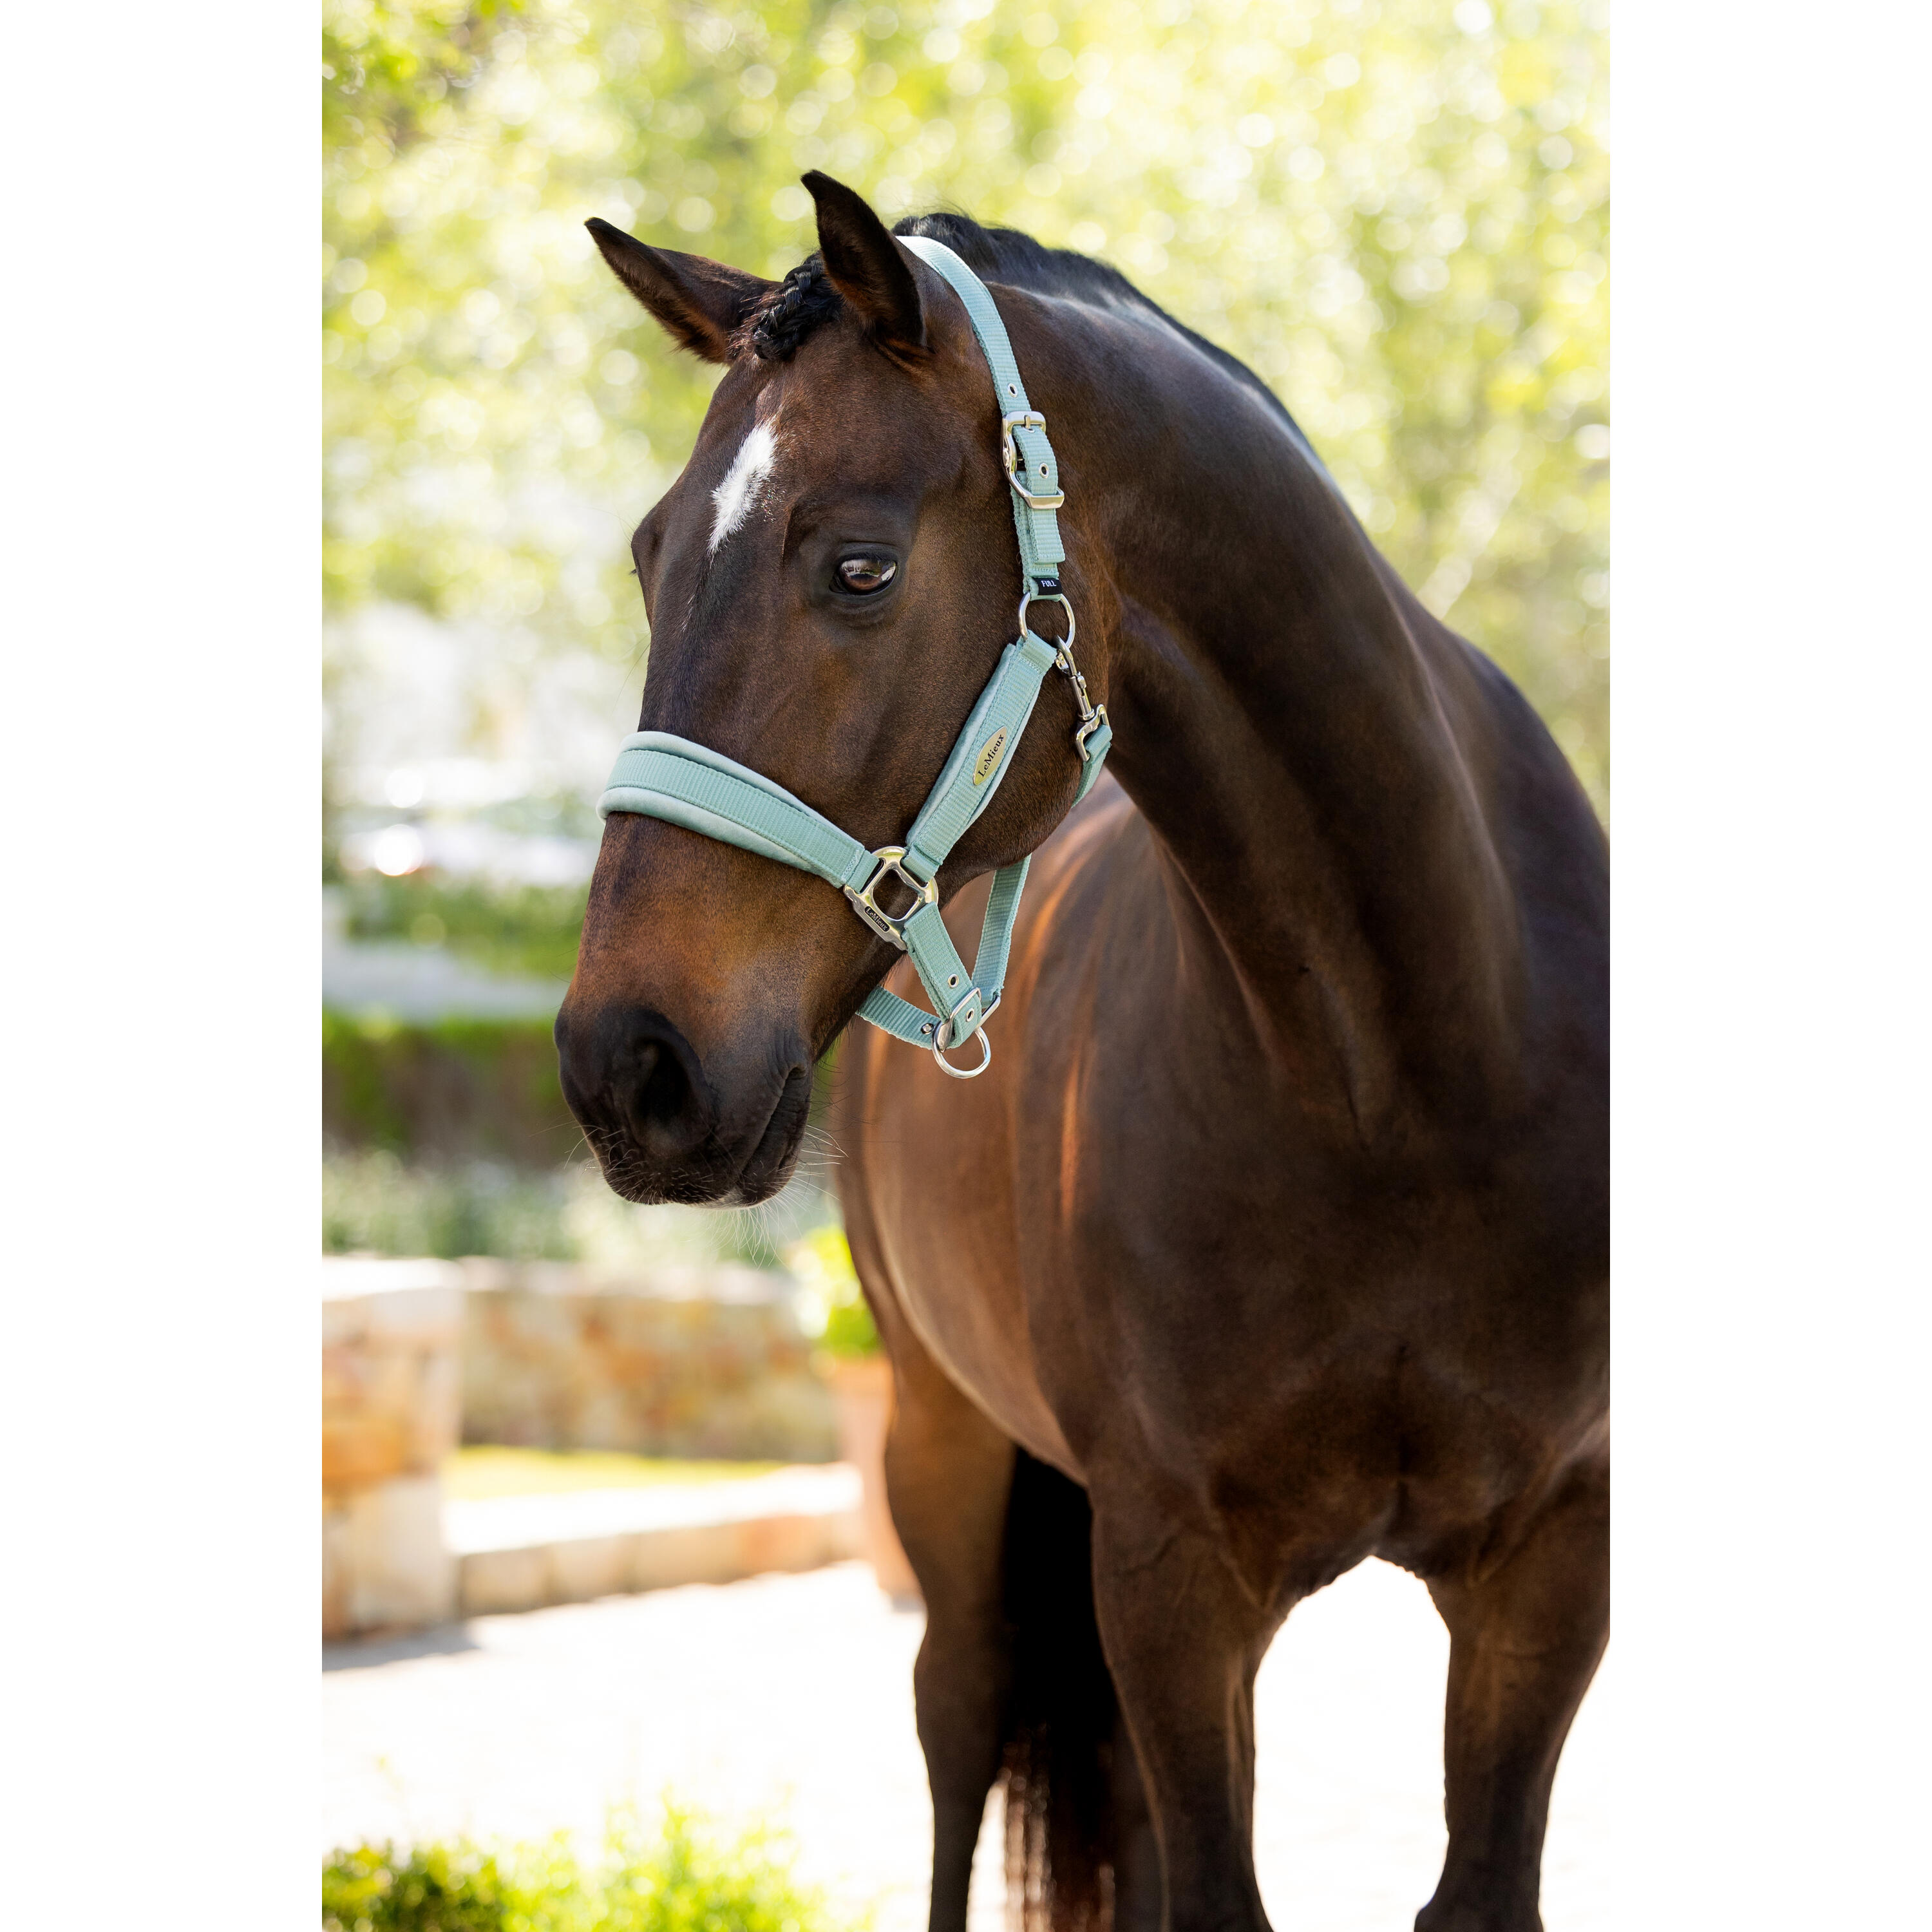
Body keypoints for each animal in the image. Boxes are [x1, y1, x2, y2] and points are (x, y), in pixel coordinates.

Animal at [555, 171, 1608, 1932]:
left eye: (858, 565)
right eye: (648, 559)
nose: (624, 1062)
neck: (1400, 1076)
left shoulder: (1552, 1564)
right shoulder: (1170, 1574)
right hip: (940, 1443)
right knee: (960, 1715)